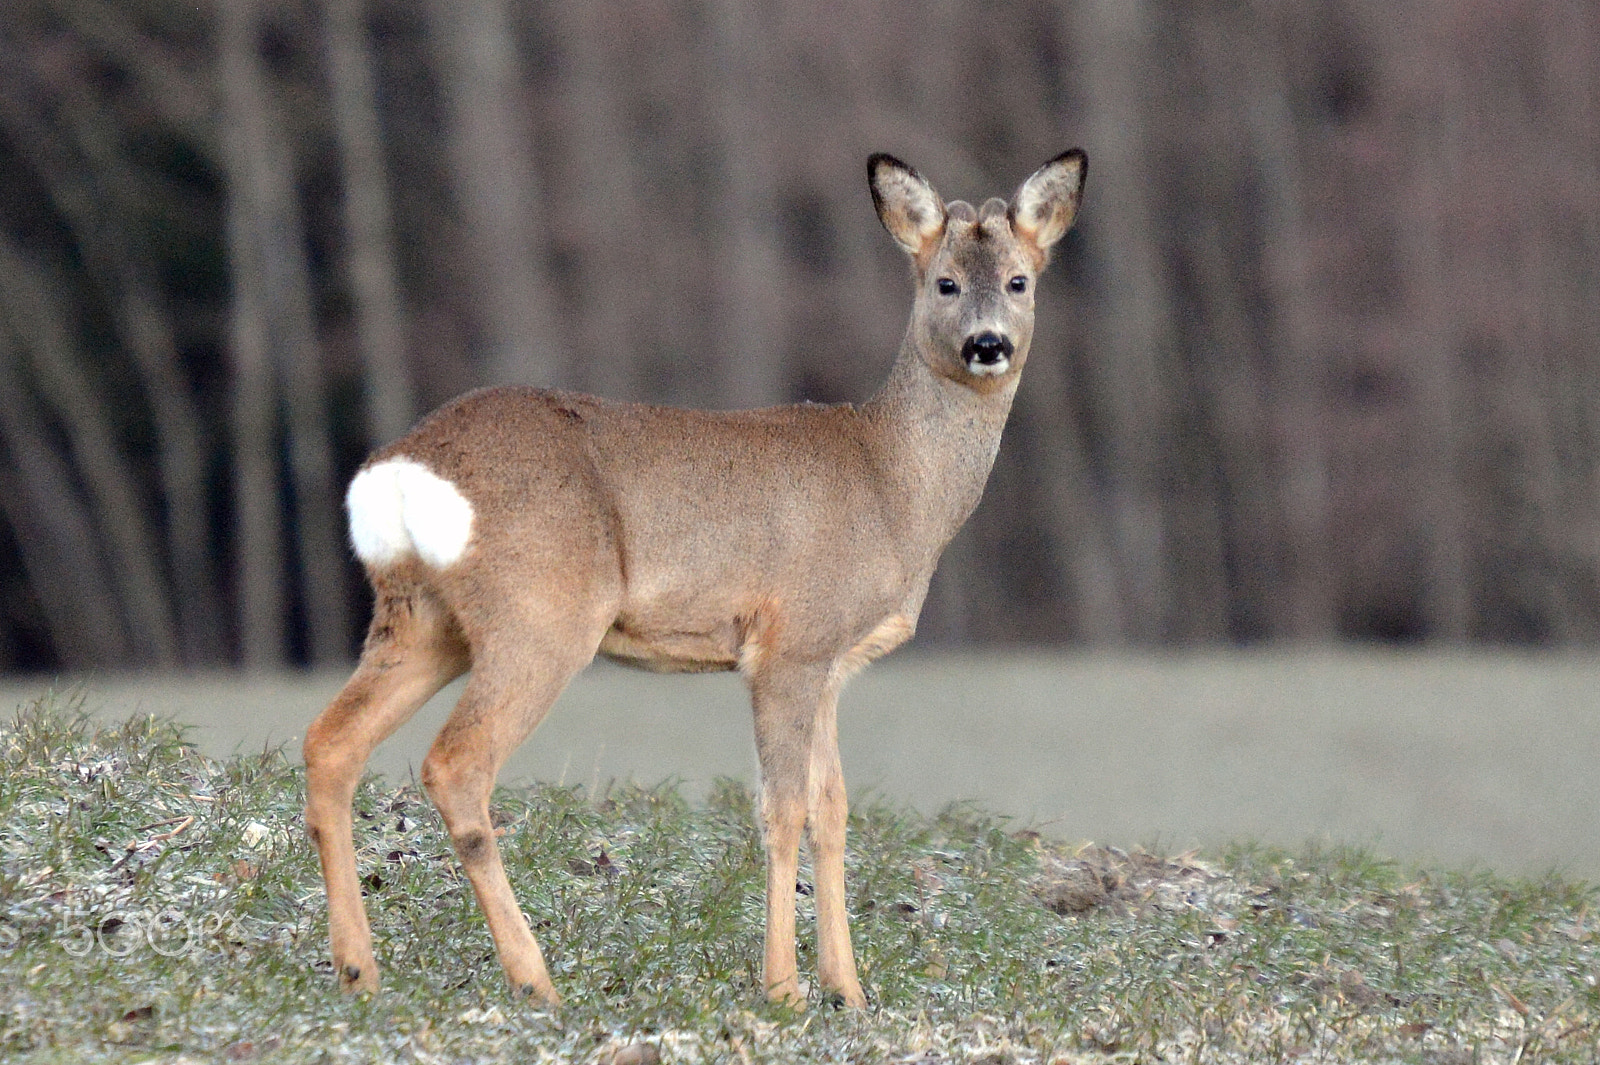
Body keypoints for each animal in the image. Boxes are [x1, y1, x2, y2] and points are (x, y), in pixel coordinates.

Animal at [300, 147, 1088, 1004]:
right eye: (944, 282)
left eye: (1019, 280)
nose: (988, 344)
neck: (891, 486)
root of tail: (399, 468)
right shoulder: (788, 643)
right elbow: (781, 808)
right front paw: (783, 988)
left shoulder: (831, 663)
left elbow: (833, 809)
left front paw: (848, 990)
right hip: (538, 617)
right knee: (455, 763)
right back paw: (535, 979)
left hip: (421, 620)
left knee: (331, 741)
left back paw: (359, 968)